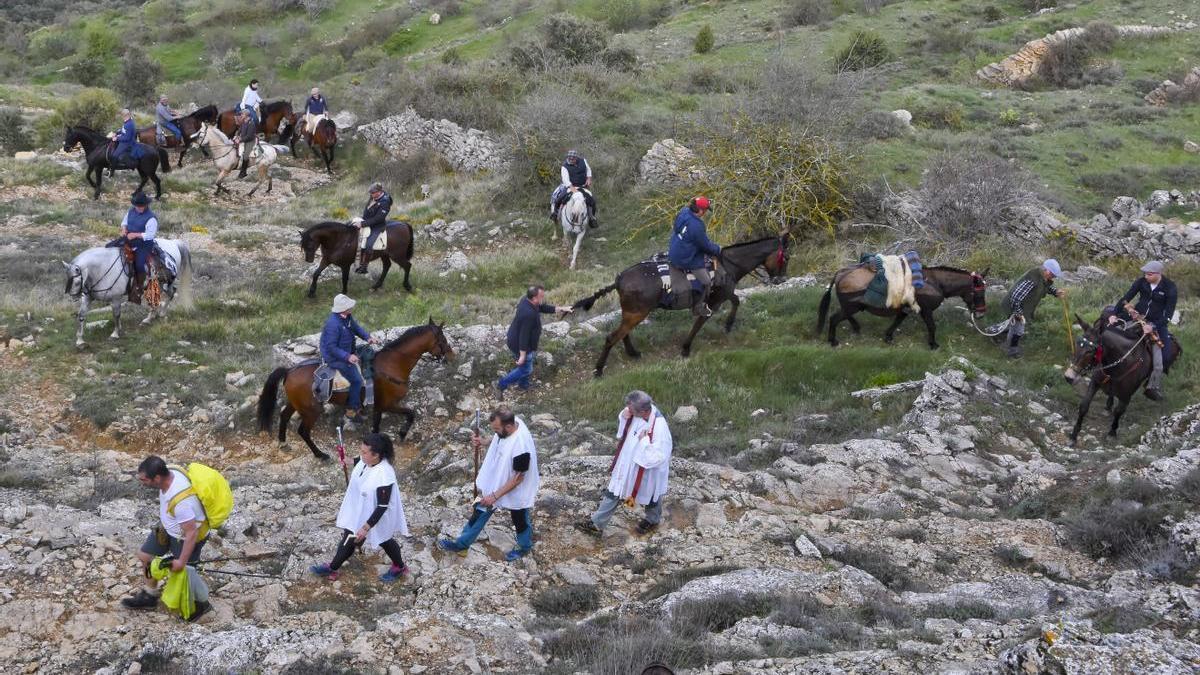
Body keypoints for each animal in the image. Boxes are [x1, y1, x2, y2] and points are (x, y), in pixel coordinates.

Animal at [63, 239, 193, 345]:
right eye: (67, 280)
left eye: (76, 282)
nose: (74, 297)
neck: (101, 268)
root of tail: (174, 243)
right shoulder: (88, 297)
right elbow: (81, 315)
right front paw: (80, 340)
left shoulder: (115, 298)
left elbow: (116, 315)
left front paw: (115, 334)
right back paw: (149, 318)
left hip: (163, 283)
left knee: (170, 293)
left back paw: (160, 314)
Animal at [255, 319, 451, 456]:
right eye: (442, 339)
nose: (451, 355)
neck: (392, 365)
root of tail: (289, 370)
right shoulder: (389, 403)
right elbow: (411, 413)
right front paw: (402, 433)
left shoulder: (378, 406)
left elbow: (376, 427)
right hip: (311, 410)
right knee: (303, 431)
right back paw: (321, 455)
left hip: (296, 403)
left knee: (284, 416)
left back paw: (283, 443)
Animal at [568, 233, 792, 374]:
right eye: (787, 257)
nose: (780, 280)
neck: (727, 265)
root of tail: (619, 279)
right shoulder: (715, 301)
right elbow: (700, 322)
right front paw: (685, 348)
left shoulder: (724, 294)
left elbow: (736, 301)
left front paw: (728, 325)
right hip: (636, 313)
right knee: (612, 337)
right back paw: (599, 369)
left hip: (632, 313)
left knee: (623, 333)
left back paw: (633, 353)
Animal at [816, 263, 993, 345]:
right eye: (979, 293)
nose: (981, 314)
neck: (935, 282)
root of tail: (841, 273)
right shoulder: (926, 310)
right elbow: (931, 326)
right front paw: (933, 344)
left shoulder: (904, 309)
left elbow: (897, 321)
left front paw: (888, 336)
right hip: (850, 306)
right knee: (834, 319)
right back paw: (832, 341)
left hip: (852, 306)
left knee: (844, 317)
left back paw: (856, 328)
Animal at [1065, 314, 1176, 444]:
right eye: (1077, 344)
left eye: (1090, 350)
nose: (1069, 376)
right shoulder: (1095, 382)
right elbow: (1084, 405)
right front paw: (1073, 435)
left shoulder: (1127, 394)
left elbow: (1119, 411)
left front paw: (1112, 433)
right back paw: (1108, 405)